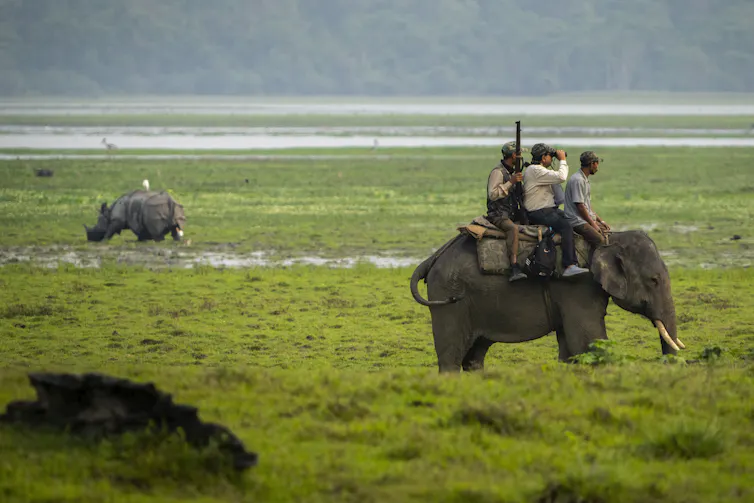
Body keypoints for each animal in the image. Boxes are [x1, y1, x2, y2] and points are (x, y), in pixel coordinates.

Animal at [410, 230, 685, 372]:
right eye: (654, 281)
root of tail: (434, 257)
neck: (607, 238)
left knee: (474, 356)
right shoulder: (577, 286)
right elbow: (588, 341)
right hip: (449, 296)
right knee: (451, 356)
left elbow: (570, 347)